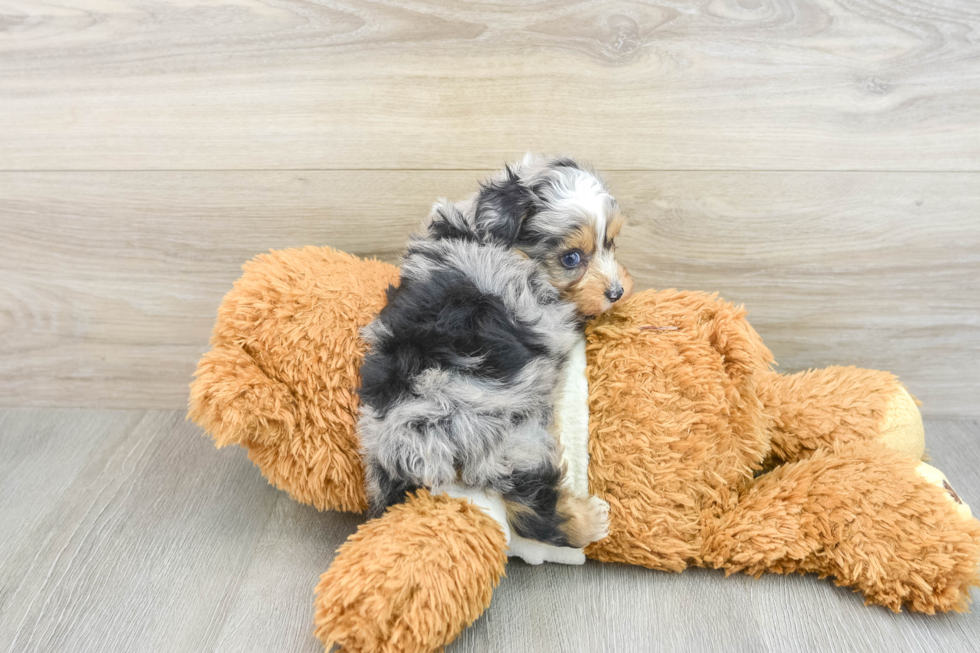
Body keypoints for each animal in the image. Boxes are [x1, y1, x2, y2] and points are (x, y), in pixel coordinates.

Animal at [356, 153, 632, 544]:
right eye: (571, 259)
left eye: (610, 242)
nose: (616, 293)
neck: (484, 234)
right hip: (515, 435)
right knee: (530, 507)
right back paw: (589, 520)